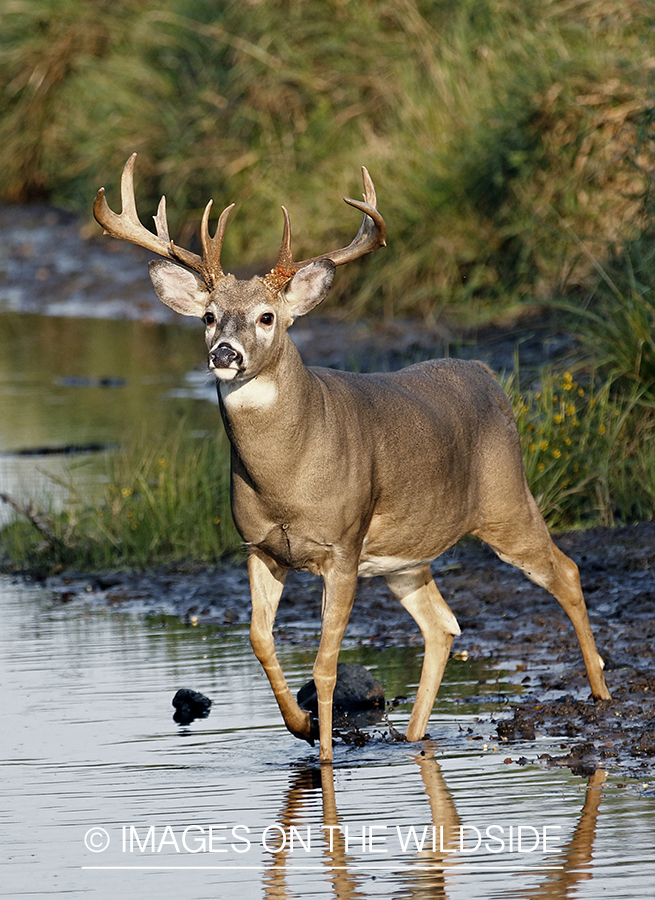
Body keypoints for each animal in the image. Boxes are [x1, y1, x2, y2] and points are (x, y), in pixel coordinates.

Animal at [95, 155, 612, 760]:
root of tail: (488, 375)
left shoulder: (342, 547)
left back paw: (601, 694)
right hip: (405, 558)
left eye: (267, 316)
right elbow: (259, 640)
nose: (225, 354)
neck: (285, 482)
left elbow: (324, 665)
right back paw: (413, 736)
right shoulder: (259, 546)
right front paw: (299, 726)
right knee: (442, 625)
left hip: (506, 502)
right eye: (208, 316)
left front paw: (322, 755)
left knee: (567, 572)